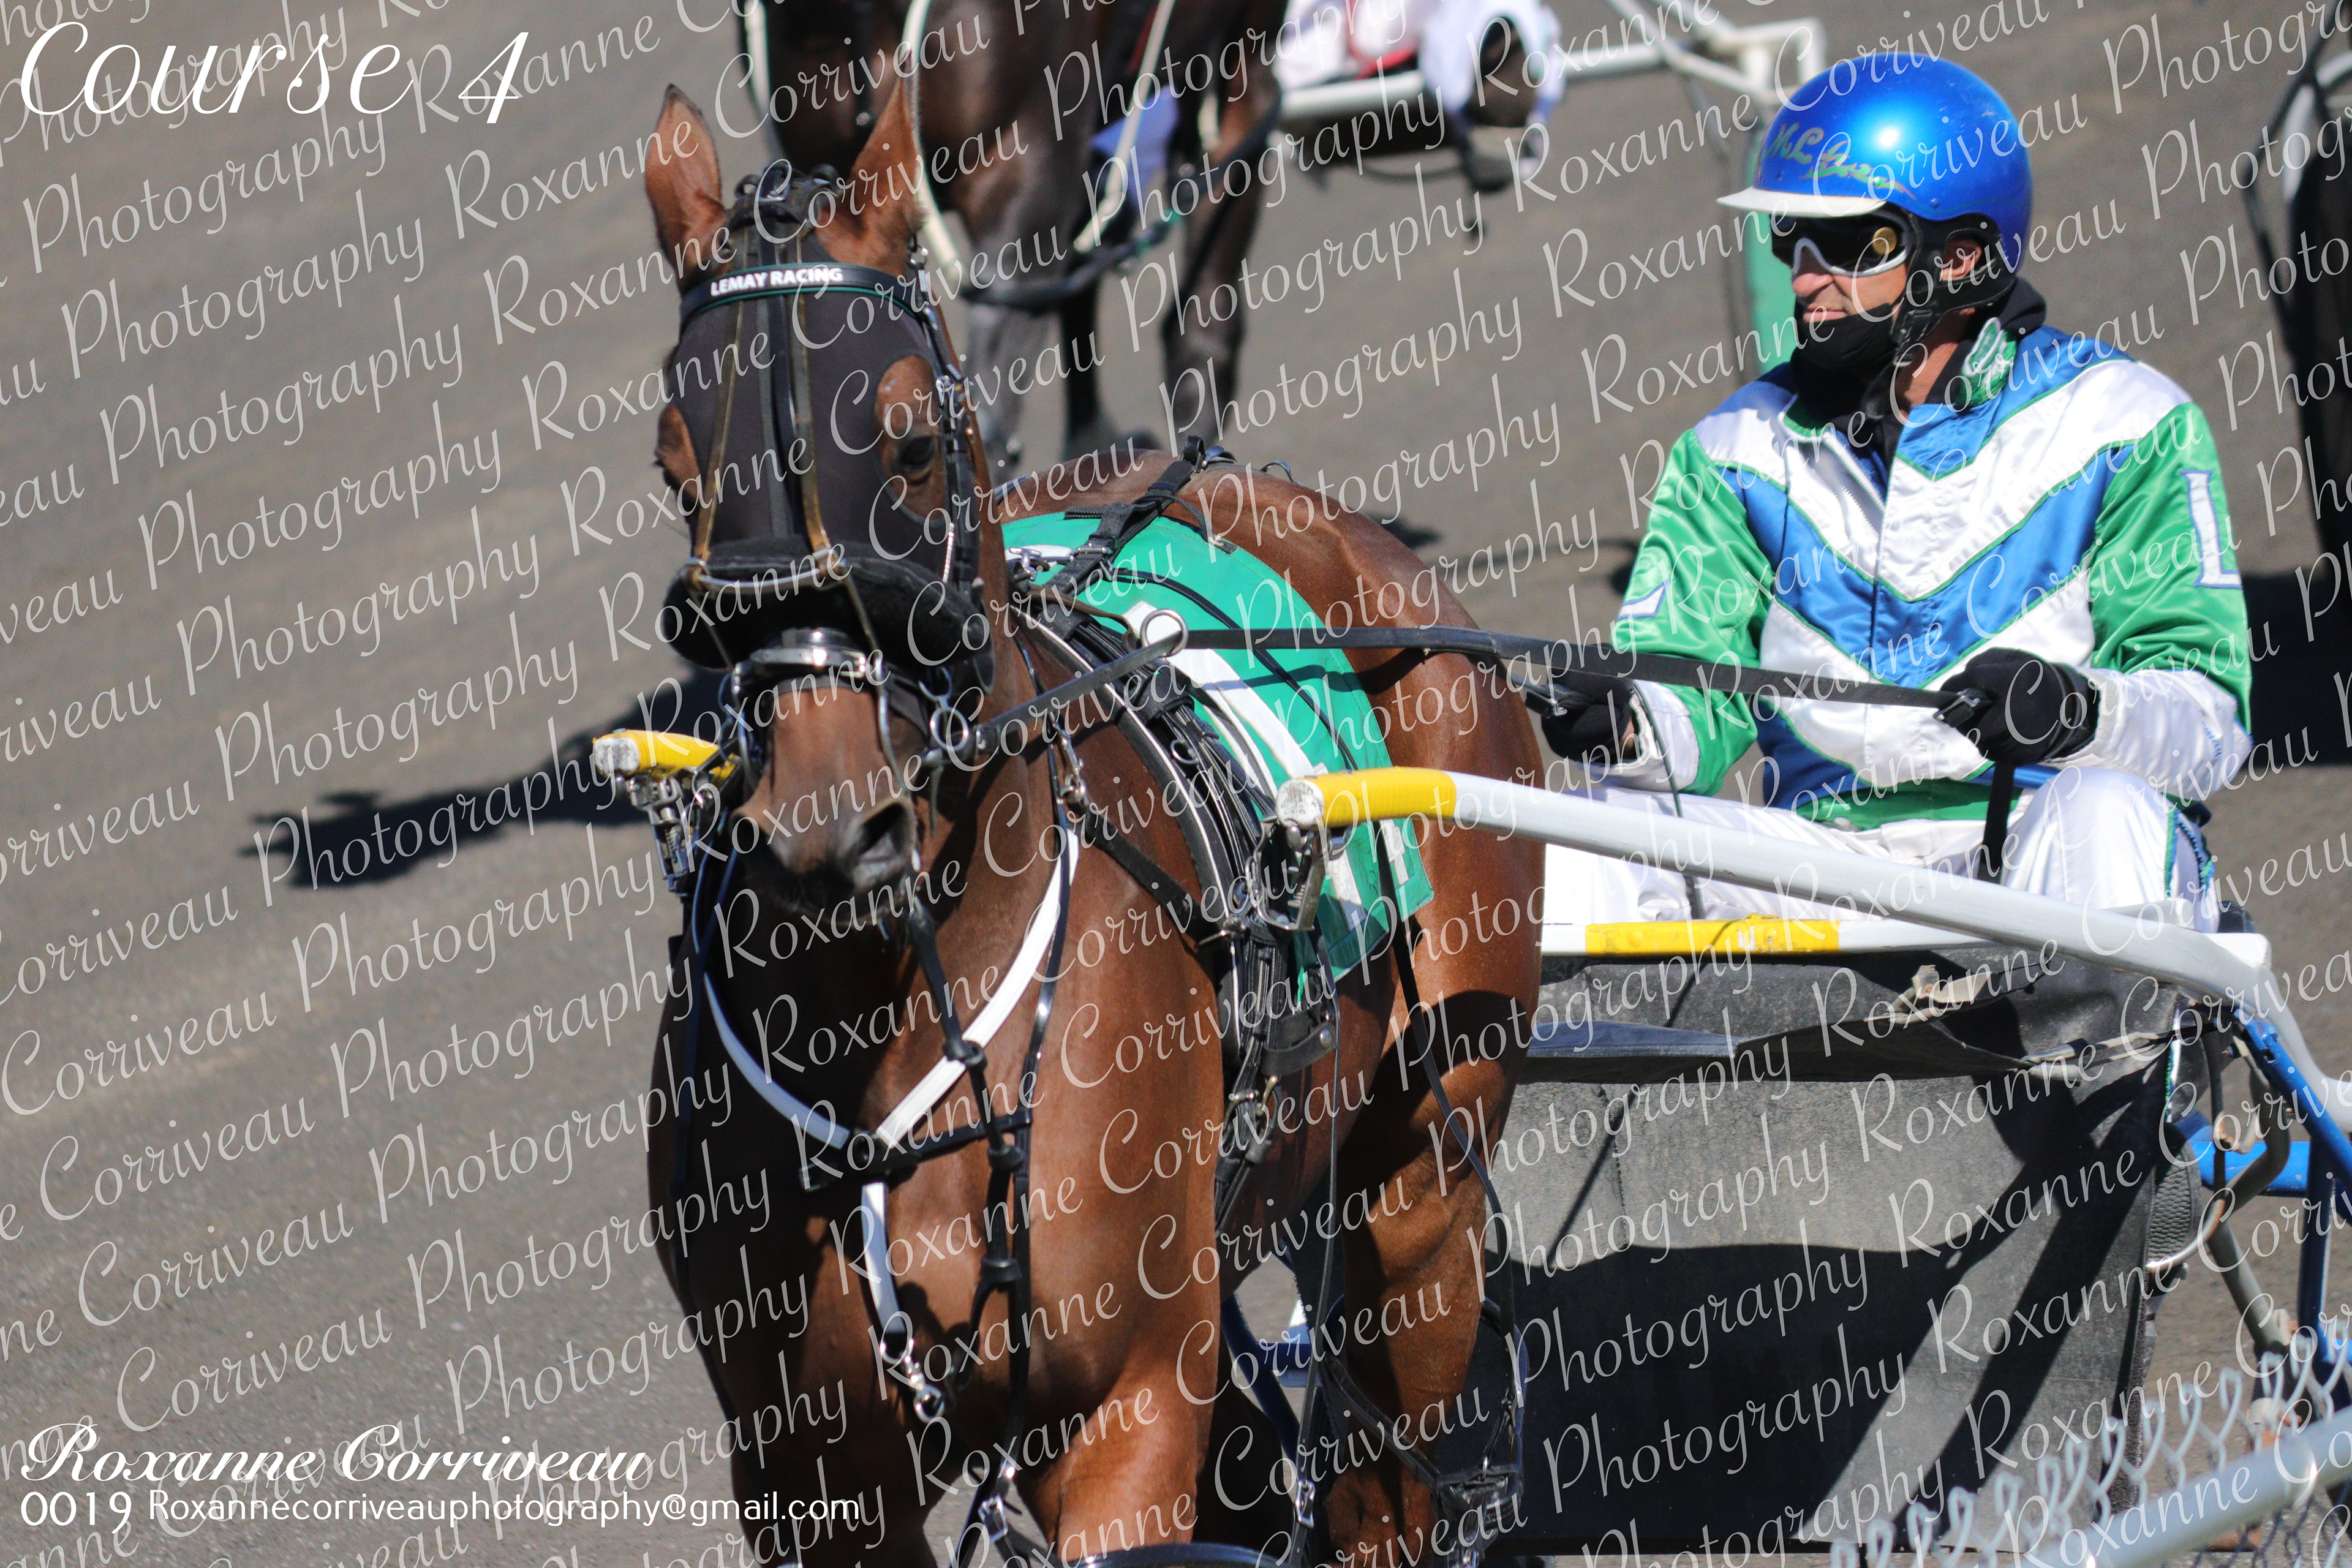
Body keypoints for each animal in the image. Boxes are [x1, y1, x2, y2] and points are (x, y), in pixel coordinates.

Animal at [637, 72, 1542, 1567]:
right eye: (676, 468)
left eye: (907, 442)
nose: (826, 825)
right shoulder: (807, 1465)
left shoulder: (1128, 1410)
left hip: (1422, 1188)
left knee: (1386, 1462)